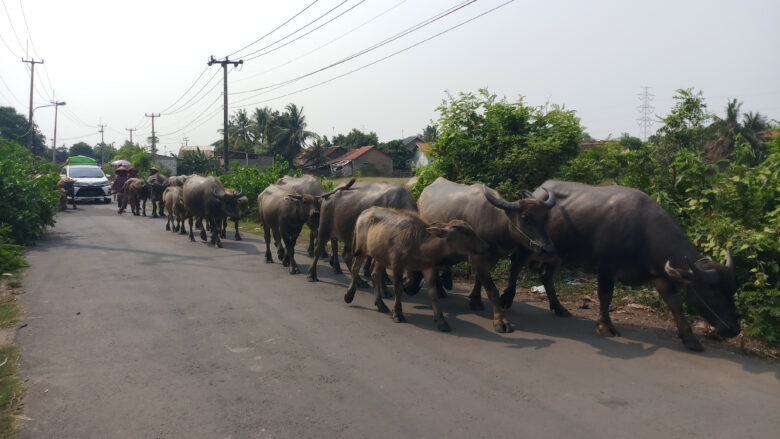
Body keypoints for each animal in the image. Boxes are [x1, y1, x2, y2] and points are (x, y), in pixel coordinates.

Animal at [346, 208, 488, 332]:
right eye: (467, 233)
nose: (484, 246)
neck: (419, 242)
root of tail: (365, 212)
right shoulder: (397, 264)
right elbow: (399, 288)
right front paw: (398, 313)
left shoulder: (428, 268)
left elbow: (433, 293)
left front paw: (441, 321)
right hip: (361, 250)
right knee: (355, 268)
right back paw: (349, 295)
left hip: (380, 256)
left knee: (375, 273)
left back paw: (381, 304)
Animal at [414, 177, 556, 336]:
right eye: (525, 217)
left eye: (546, 217)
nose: (548, 249)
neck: (495, 222)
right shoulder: (477, 258)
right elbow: (492, 290)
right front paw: (500, 321)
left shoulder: (492, 258)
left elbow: (479, 280)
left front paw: (475, 300)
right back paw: (439, 289)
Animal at [508, 180, 740, 352]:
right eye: (714, 293)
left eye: (732, 292)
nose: (734, 329)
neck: (643, 231)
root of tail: (536, 191)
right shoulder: (606, 267)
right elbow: (605, 296)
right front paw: (605, 325)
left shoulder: (659, 274)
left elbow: (674, 303)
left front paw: (689, 338)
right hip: (528, 246)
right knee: (515, 265)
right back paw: (507, 299)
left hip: (557, 254)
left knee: (546, 276)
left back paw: (559, 307)